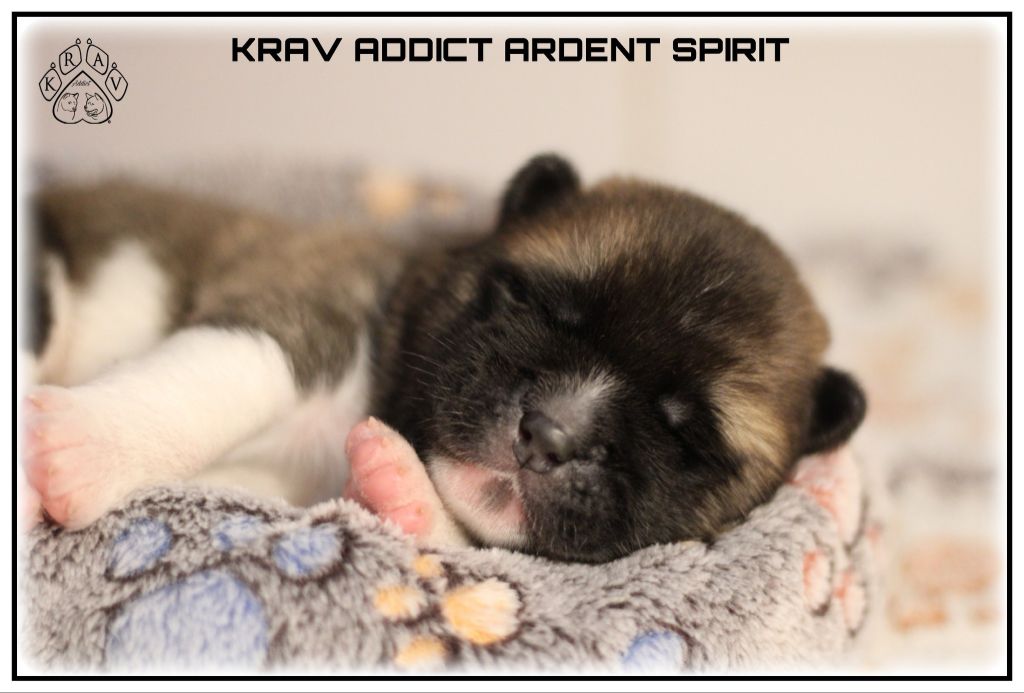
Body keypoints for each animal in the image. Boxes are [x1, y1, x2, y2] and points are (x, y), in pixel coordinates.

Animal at [23, 155, 865, 563]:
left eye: (686, 435)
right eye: (533, 301)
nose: (549, 435)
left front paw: (401, 489)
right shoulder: (306, 308)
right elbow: (222, 374)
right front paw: (81, 446)